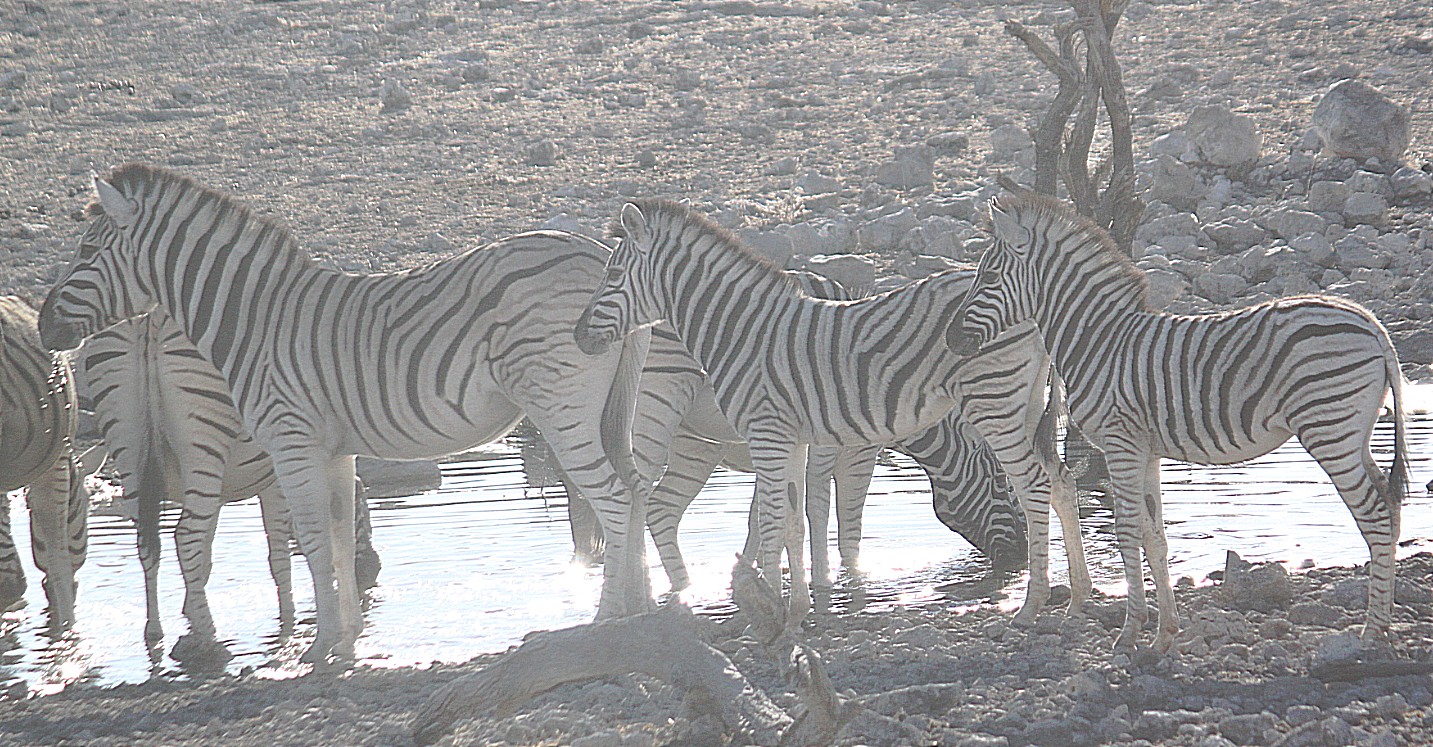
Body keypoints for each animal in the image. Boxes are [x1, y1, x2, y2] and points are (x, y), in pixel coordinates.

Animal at [74, 305, 381, 662]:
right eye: (361, 509)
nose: (373, 569)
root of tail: (148, 319)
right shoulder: (276, 479)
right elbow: (279, 557)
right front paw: (287, 623)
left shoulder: (213, 493)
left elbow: (205, 560)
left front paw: (190, 613)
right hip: (201, 438)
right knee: (185, 538)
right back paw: (210, 640)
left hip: (131, 447)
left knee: (150, 543)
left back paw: (156, 632)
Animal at [573, 196, 1083, 622]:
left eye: (613, 278)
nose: (578, 337)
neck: (740, 330)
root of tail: (1032, 309)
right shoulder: (792, 440)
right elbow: (793, 524)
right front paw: (798, 607)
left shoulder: (789, 439)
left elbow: (792, 522)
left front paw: (787, 605)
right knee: (1059, 481)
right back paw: (1077, 594)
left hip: (997, 401)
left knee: (1038, 484)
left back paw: (1034, 603)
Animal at [951, 192, 1410, 653]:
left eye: (988, 276)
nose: (956, 343)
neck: (1099, 341)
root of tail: (1373, 325)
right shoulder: (1147, 451)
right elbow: (1155, 537)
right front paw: (1164, 634)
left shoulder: (1120, 444)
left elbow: (1127, 533)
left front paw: (1129, 634)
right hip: (1353, 433)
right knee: (1390, 507)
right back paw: (1384, 621)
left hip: (1329, 428)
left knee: (1373, 514)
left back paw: (1373, 630)